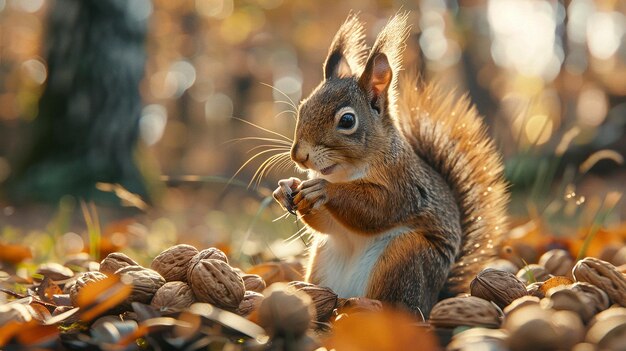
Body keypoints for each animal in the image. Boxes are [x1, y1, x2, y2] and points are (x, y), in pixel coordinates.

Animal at [272, 12, 508, 318]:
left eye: (347, 121)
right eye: (303, 107)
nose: (299, 156)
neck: (345, 172)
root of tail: (433, 299)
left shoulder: (404, 186)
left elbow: (377, 208)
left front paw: (323, 190)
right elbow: (326, 224)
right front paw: (285, 188)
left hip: (404, 257)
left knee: (399, 308)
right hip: (323, 259)